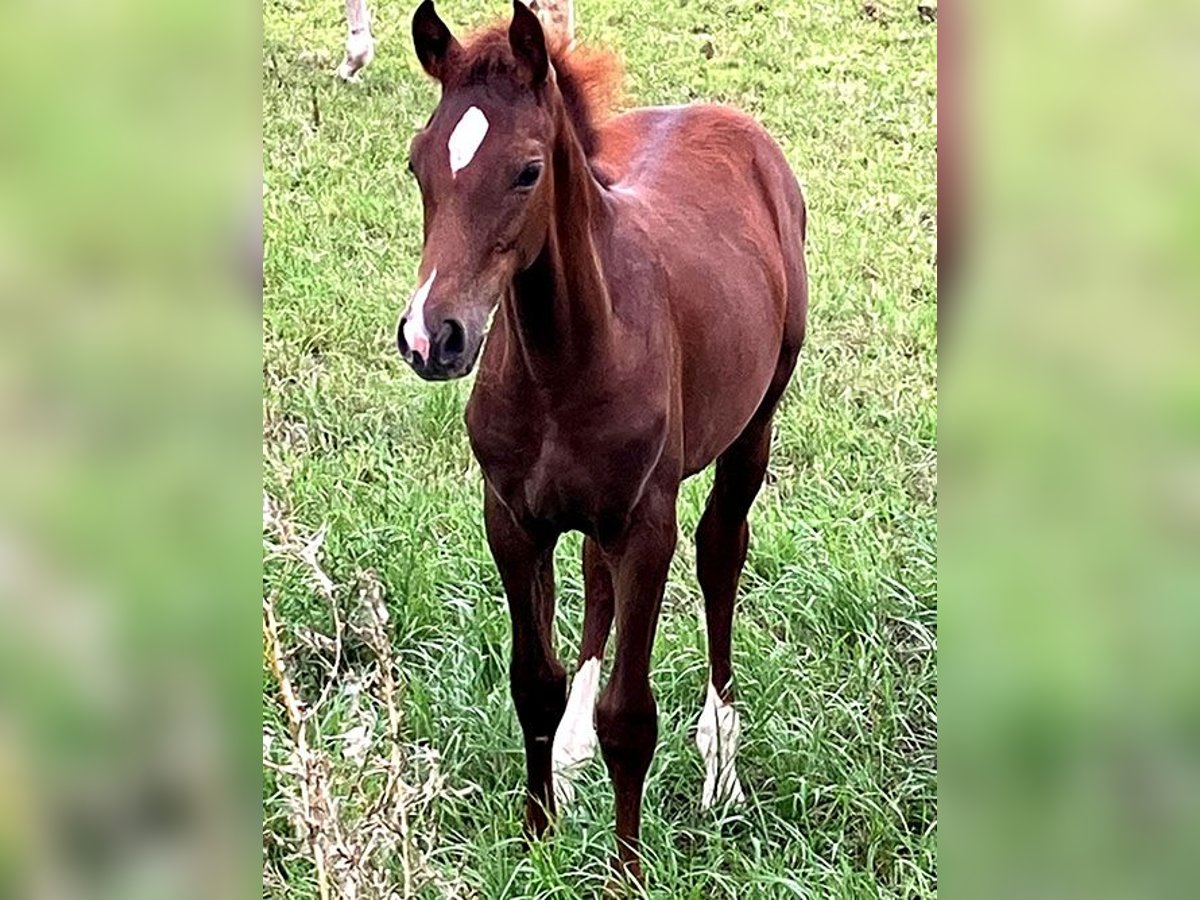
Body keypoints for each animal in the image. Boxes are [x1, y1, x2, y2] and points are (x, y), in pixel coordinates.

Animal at [395, 0, 807, 879]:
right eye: (418, 165)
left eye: (526, 171)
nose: (430, 337)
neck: (568, 359)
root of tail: (727, 119)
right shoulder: (512, 520)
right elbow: (533, 683)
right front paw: (537, 836)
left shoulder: (645, 527)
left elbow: (633, 716)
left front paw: (624, 871)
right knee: (595, 573)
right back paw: (578, 750)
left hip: (754, 422)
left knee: (722, 552)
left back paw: (722, 762)